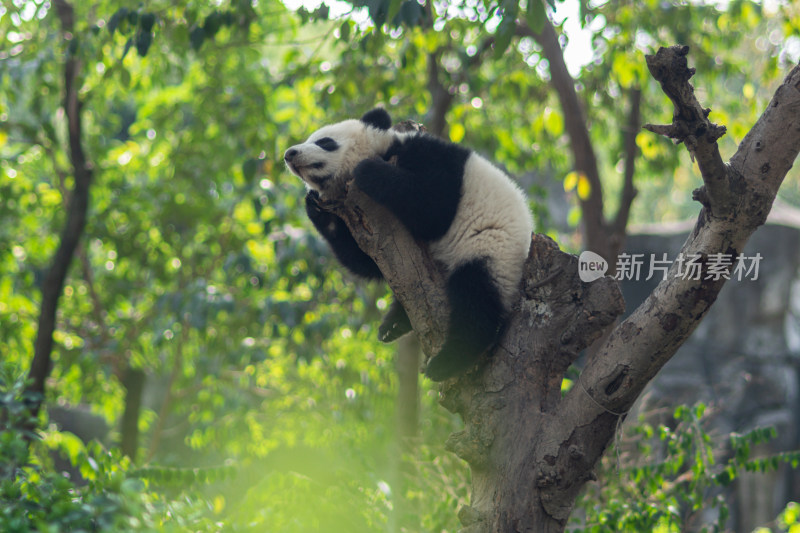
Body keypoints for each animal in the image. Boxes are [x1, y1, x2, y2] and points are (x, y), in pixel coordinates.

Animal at [284, 107, 536, 378]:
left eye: (324, 142)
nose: (289, 154)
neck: (386, 150)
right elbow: (366, 263)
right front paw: (314, 205)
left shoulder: (432, 158)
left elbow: (434, 207)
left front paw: (368, 171)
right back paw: (393, 325)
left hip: (493, 252)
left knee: (476, 299)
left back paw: (447, 361)